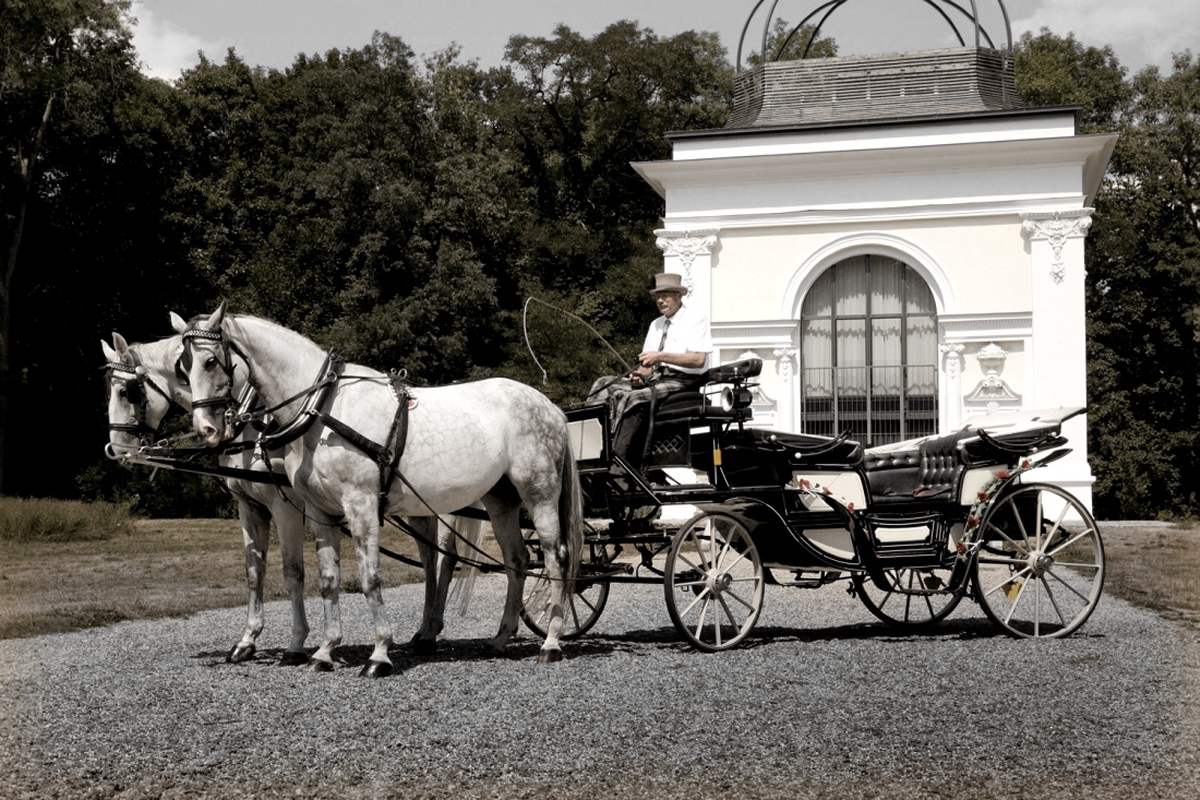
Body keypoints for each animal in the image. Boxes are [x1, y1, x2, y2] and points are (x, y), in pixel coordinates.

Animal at [175, 307, 580, 676]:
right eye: (183, 366)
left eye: (210, 361)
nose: (207, 429)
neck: (322, 407)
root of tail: (551, 408)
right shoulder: (320, 512)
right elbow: (328, 580)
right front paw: (325, 651)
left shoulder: (359, 504)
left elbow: (370, 578)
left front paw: (379, 654)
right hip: (500, 499)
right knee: (517, 561)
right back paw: (499, 638)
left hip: (539, 491)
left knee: (554, 556)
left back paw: (551, 643)